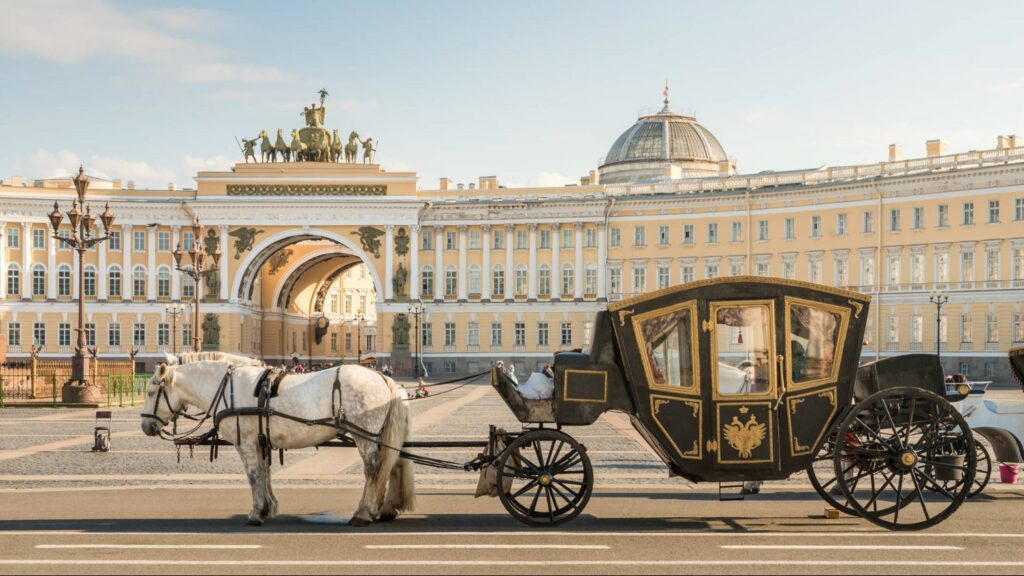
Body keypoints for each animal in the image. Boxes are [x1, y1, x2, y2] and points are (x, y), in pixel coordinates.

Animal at [140, 350, 415, 524]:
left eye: (151, 390)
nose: (144, 425)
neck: (228, 387)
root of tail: (383, 377)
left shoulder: (245, 442)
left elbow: (253, 476)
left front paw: (255, 514)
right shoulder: (261, 441)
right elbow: (265, 473)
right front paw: (268, 508)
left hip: (365, 436)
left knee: (373, 470)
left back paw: (364, 513)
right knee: (391, 465)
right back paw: (384, 510)